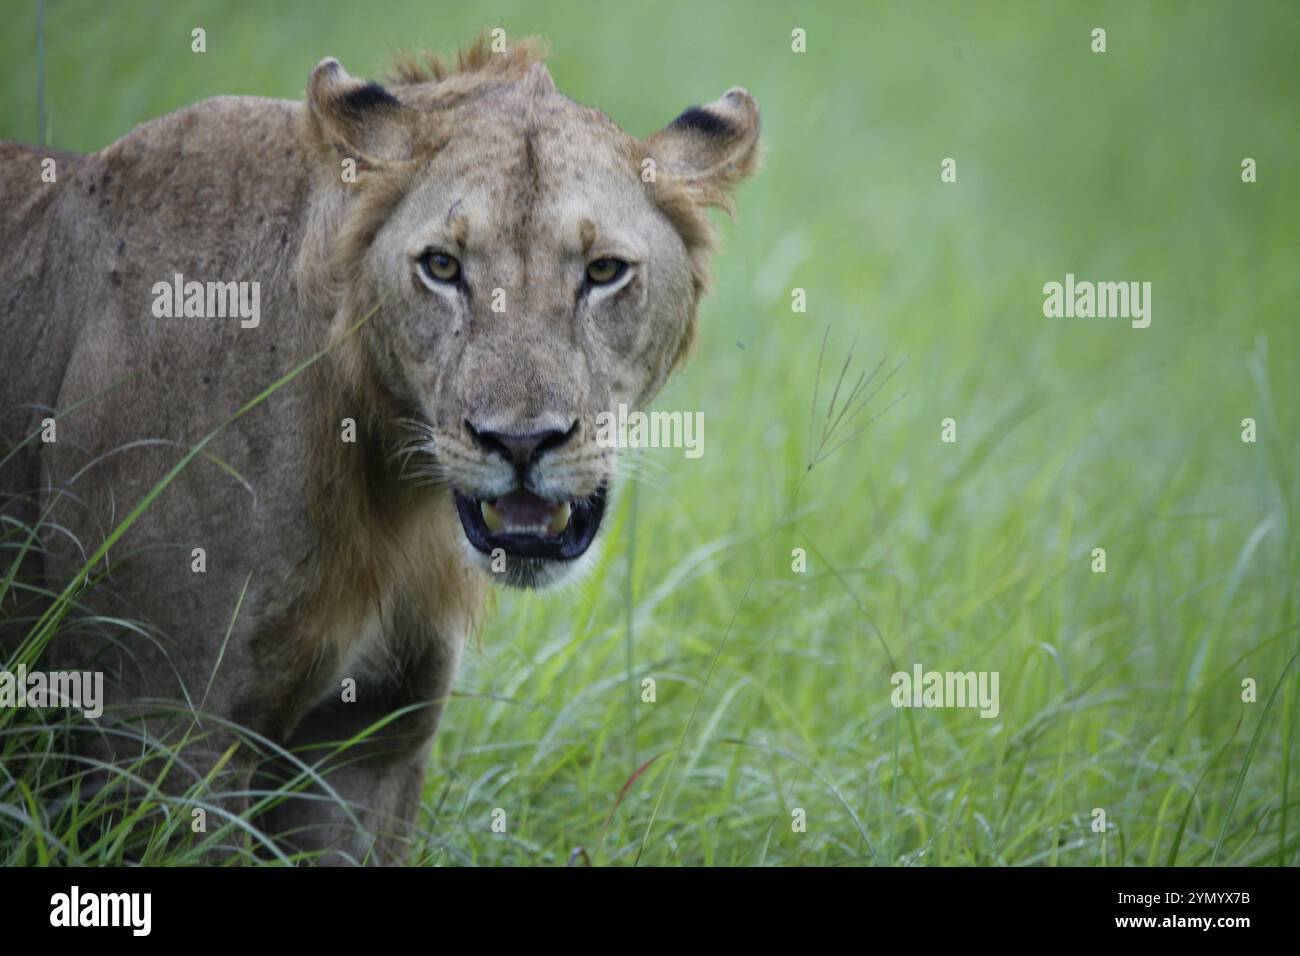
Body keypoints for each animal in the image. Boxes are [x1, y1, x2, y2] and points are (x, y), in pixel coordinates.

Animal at [0, 37, 759, 863]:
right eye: (442, 267)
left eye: (603, 271)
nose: (520, 442)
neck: (388, 489)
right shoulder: (162, 730)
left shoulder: (369, 741)